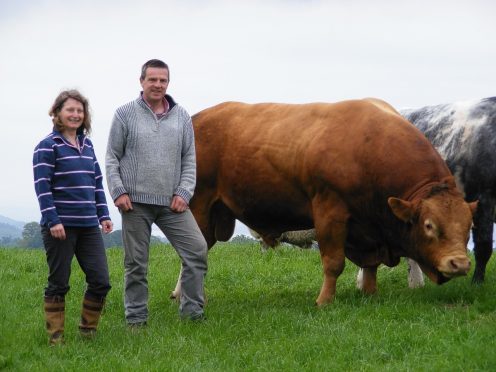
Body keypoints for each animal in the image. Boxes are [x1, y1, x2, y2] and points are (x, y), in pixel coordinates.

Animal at [187, 99, 476, 306]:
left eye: (468, 226)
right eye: (429, 225)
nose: (460, 264)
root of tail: (198, 118)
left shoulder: (369, 230)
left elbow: (370, 266)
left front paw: (370, 294)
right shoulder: (329, 212)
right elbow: (334, 263)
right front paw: (324, 301)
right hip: (199, 207)